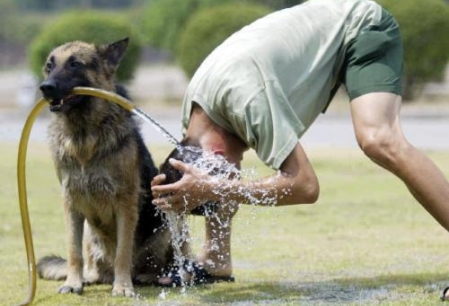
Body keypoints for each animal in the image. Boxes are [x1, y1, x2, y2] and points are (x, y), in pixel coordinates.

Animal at [36, 37, 178, 296]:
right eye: (49, 66)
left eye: (75, 64)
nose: (45, 87)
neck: (83, 137)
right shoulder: (71, 203)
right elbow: (73, 252)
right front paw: (73, 283)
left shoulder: (125, 203)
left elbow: (123, 251)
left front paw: (122, 287)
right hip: (89, 234)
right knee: (91, 264)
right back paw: (90, 278)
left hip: (168, 222)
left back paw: (151, 277)